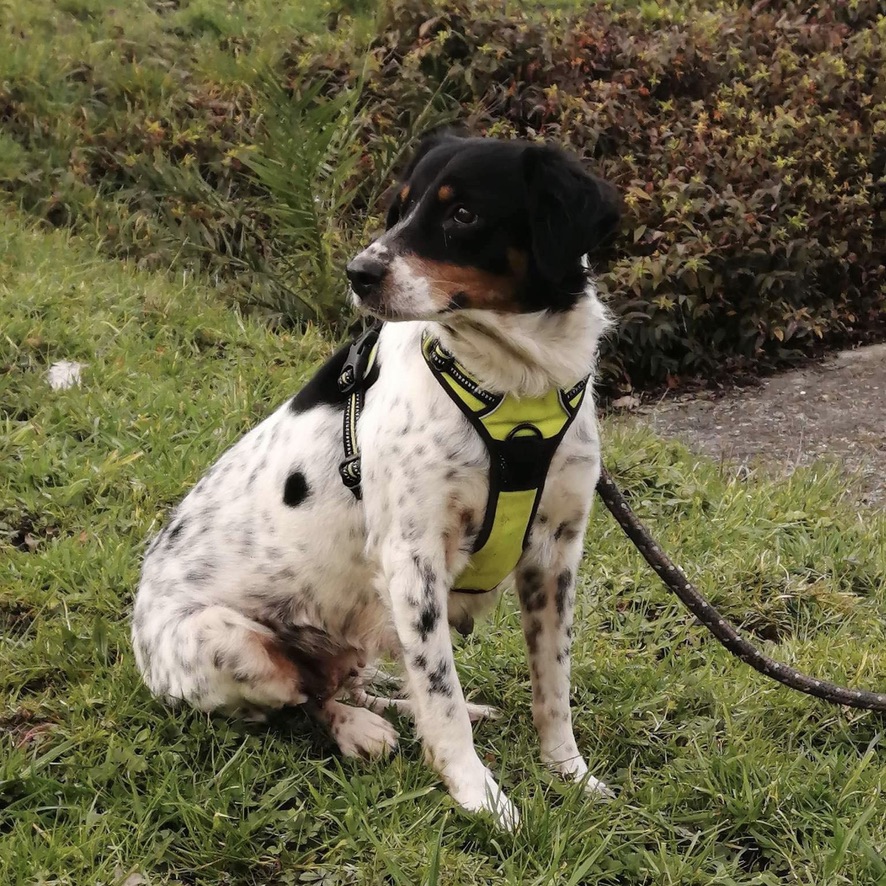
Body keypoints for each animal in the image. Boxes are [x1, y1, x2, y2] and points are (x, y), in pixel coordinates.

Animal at [132, 132, 620, 832]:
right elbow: (440, 696)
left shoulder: (555, 556)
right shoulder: (412, 562)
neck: (515, 387)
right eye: (401, 207)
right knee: (303, 701)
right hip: (232, 645)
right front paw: (480, 797)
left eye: (462, 214)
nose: (357, 273)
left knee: (353, 683)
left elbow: (552, 688)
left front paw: (570, 775)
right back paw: (359, 730)